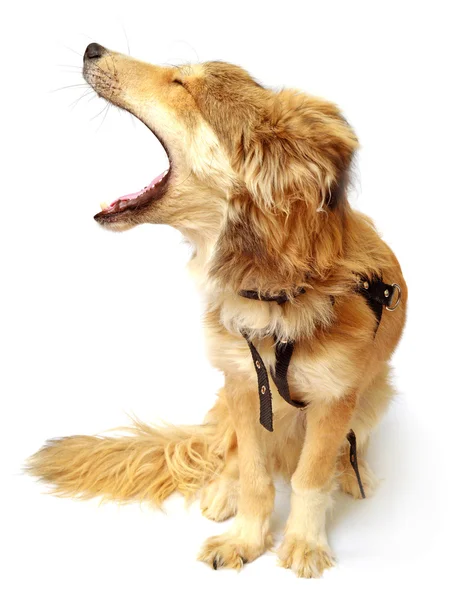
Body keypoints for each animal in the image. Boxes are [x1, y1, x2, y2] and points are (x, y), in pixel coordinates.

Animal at [28, 42, 406, 576]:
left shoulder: (335, 399)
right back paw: (223, 491)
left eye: (181, 85)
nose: (91, 48)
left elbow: (310, 480)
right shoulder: (244, 384)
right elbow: (252, 474)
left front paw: (304, 542)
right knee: (229, 453)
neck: (277, 296)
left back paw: (354, 473)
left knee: (351, 445)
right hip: (227, 400)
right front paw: (246, 537)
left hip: (377, 393)